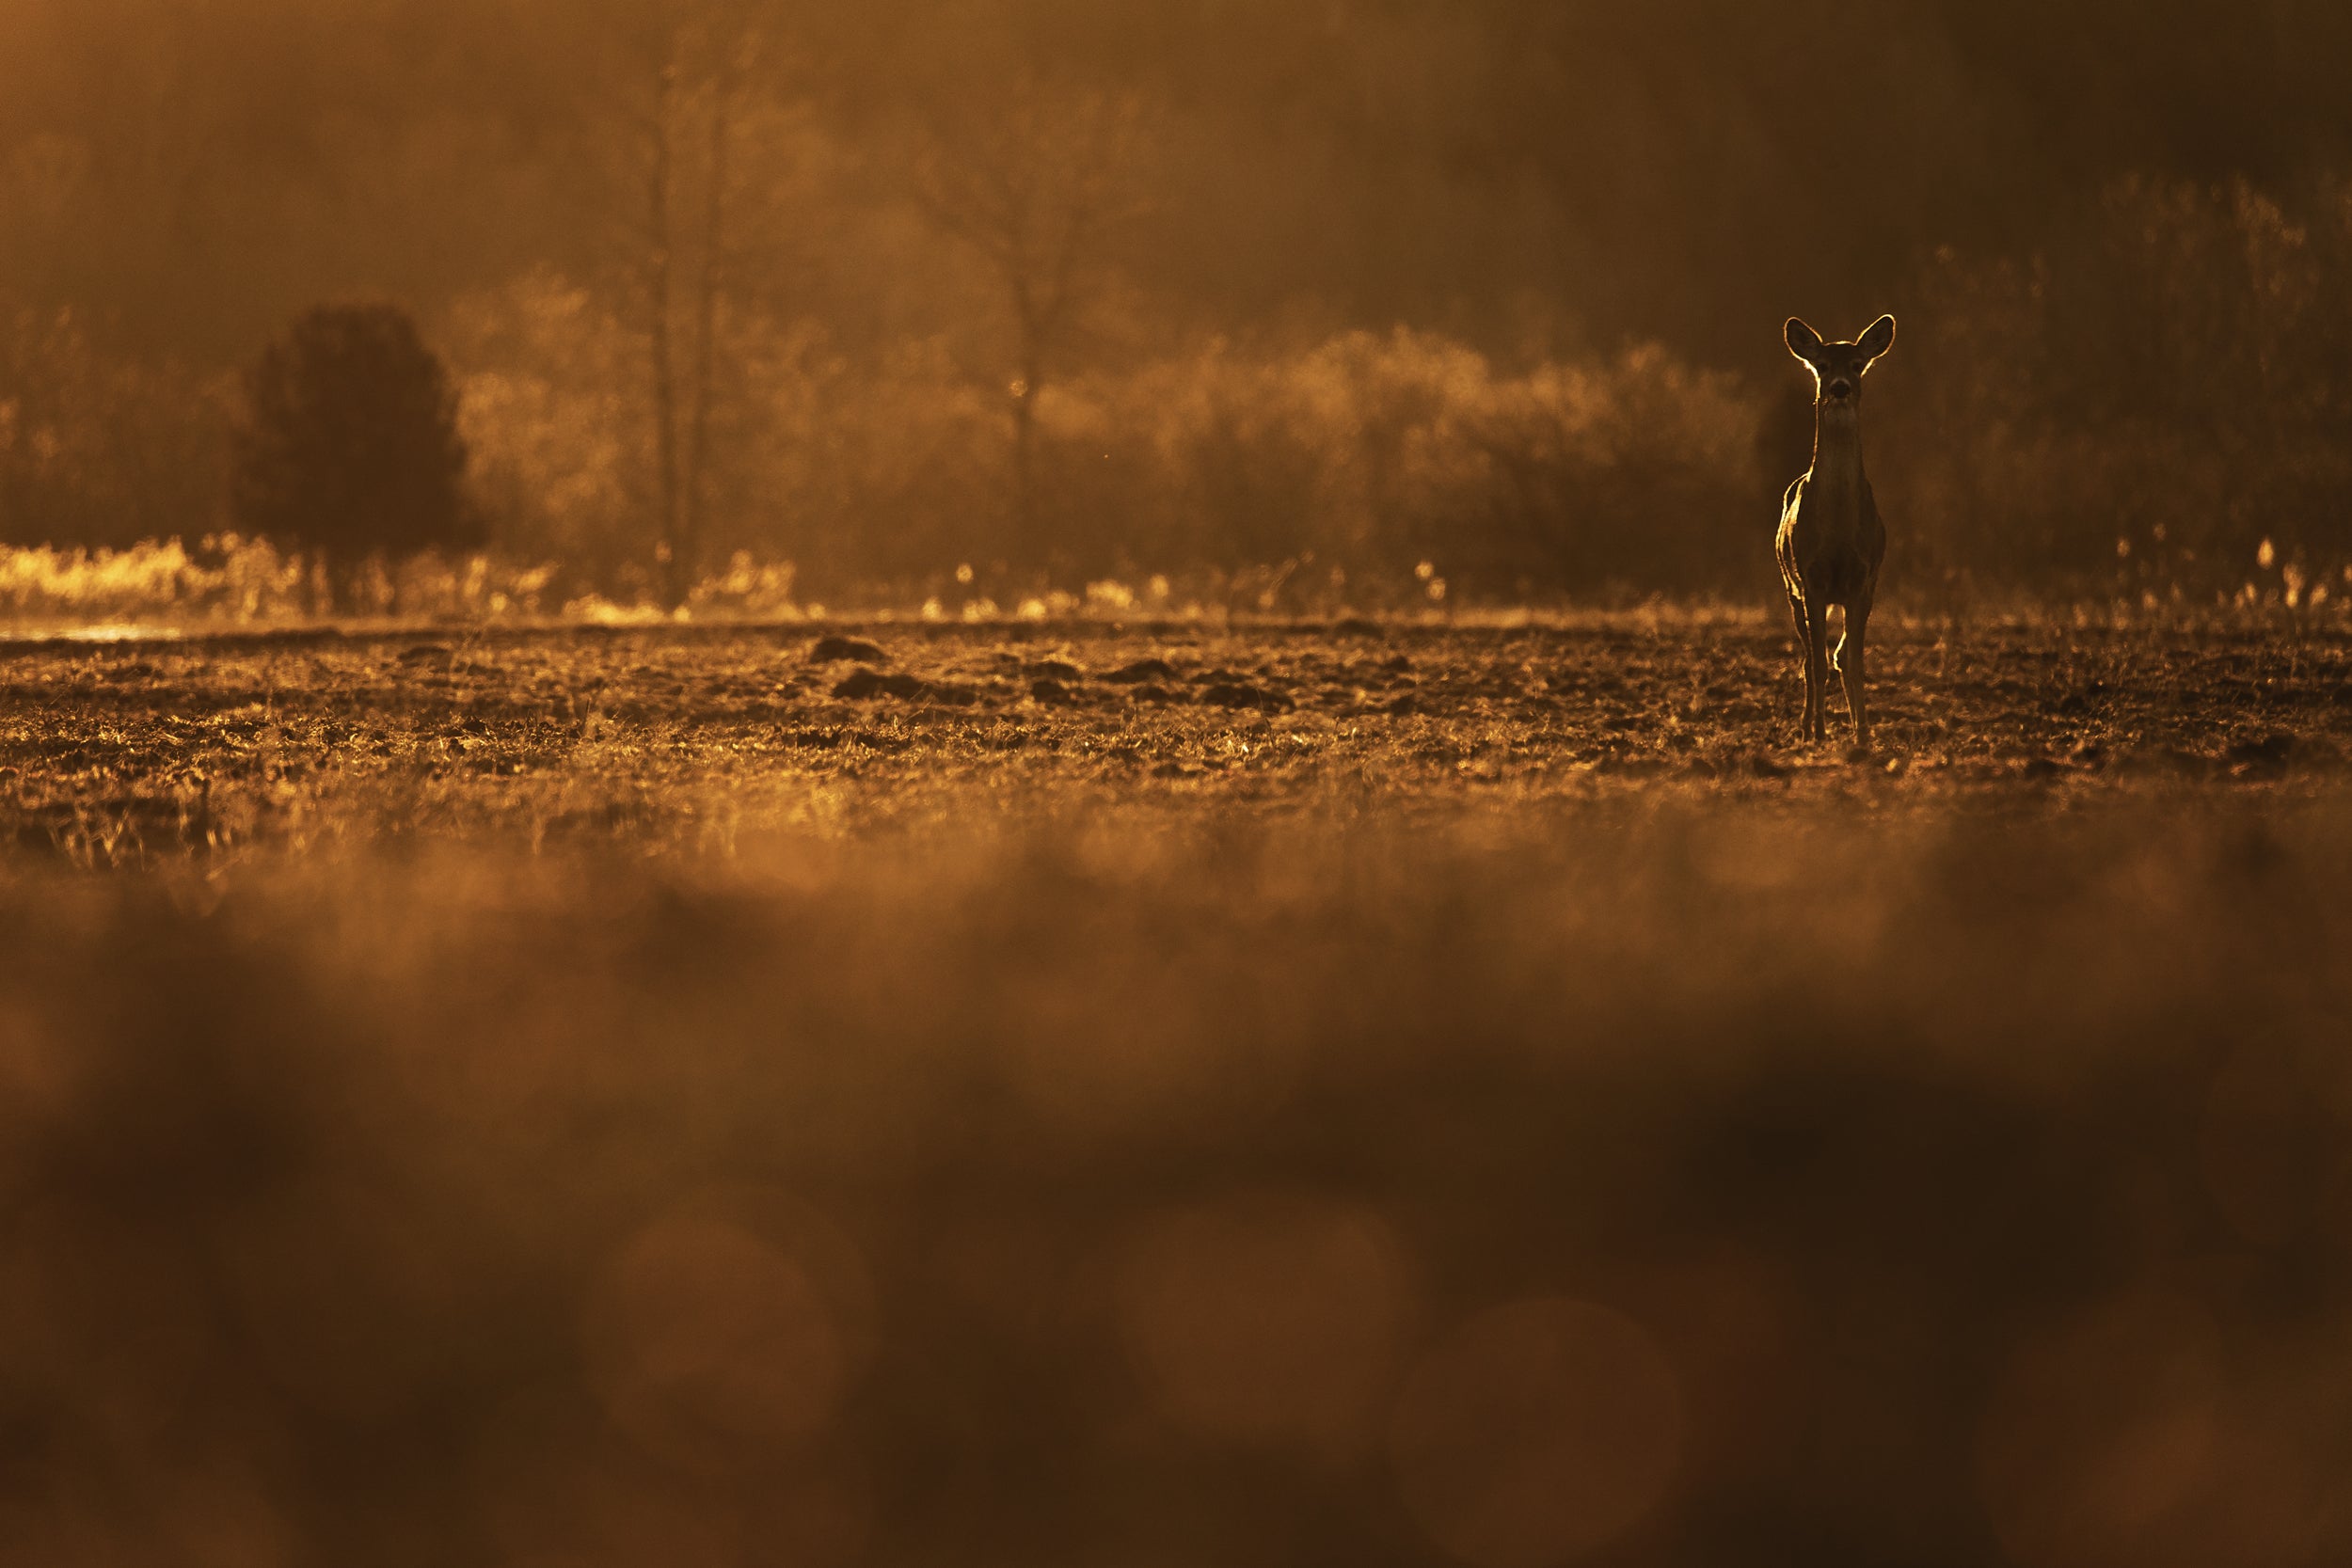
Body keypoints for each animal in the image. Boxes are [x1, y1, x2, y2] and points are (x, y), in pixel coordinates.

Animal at [1776, 314, 1895, 751]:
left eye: (1858, 364)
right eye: (1823, 365)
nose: (1839, 387)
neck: (1839, 533)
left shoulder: (1864, 580)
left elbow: (1854, 662)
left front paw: (1863, 735)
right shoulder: (1811, 579)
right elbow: (1820, 663)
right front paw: (1819, 733)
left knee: (1838, 655)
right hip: (1790, 587)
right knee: (1810, 659)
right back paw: (1807, 727)